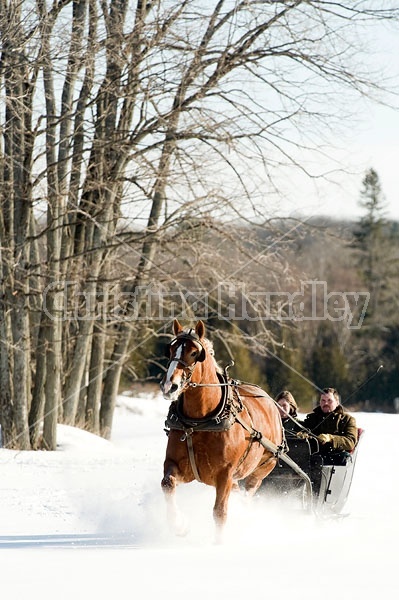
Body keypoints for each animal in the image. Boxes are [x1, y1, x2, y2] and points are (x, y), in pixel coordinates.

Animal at [160, 322, 284, 540]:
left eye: (194, 353)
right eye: (171, 349)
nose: (169, 386)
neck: (199, 423)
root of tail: (269, 400)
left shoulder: (225, 474)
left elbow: (220, 513)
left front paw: (218, 544)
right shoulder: (177, 465)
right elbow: (167, 483)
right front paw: (179, 524)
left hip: (263, 467)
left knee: (248, 490)